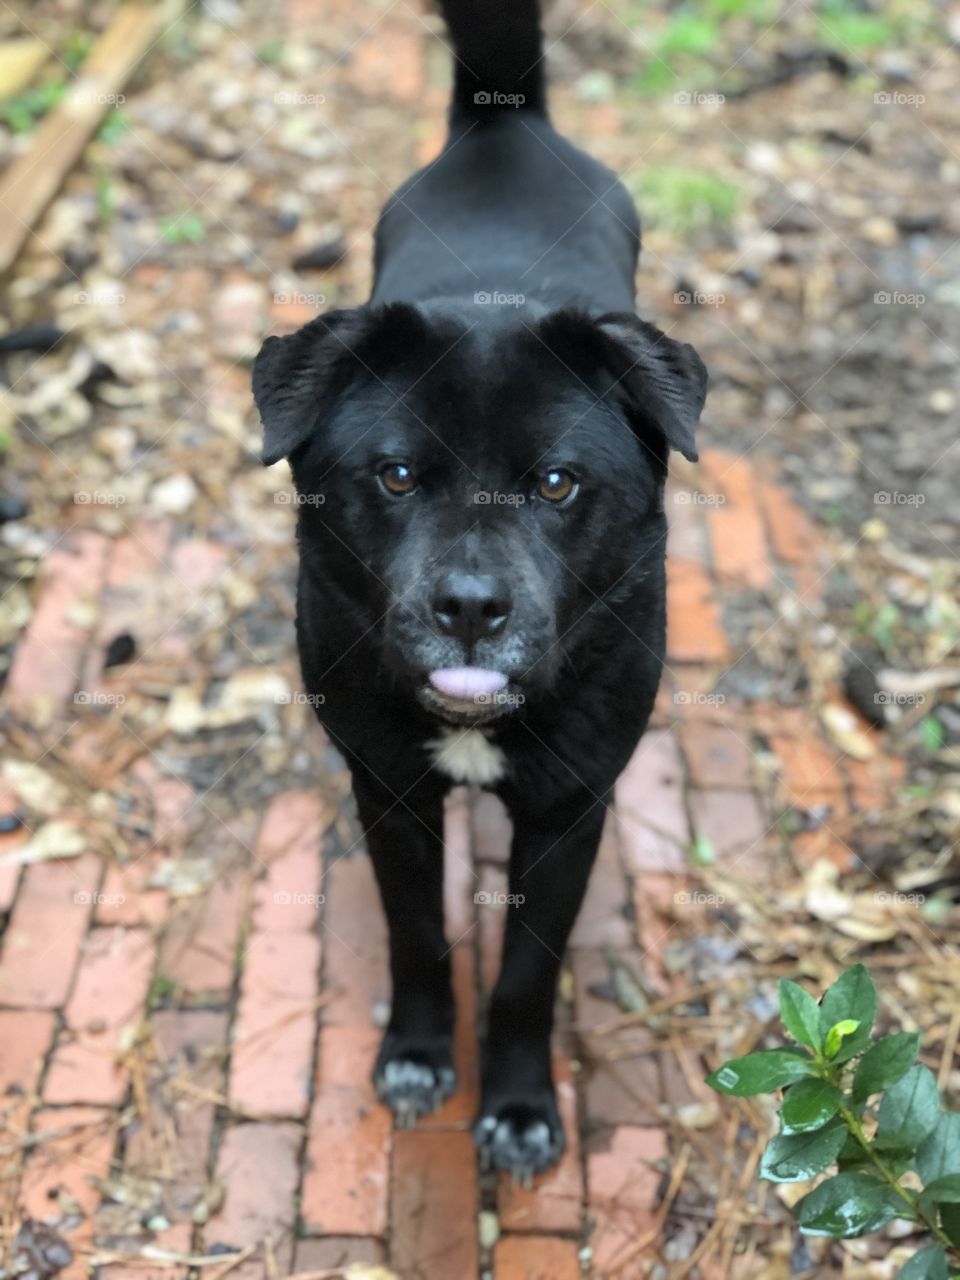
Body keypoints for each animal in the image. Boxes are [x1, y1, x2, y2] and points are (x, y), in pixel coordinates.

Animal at [253, 0, 706, 1172]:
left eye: (556, 482)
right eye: (397, 475)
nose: (467, 608)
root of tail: (507, 125)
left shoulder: (569, 810)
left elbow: (524, 977)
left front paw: (518, 1107)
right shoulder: (388, 790)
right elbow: (419, 937)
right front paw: (418, 1055)